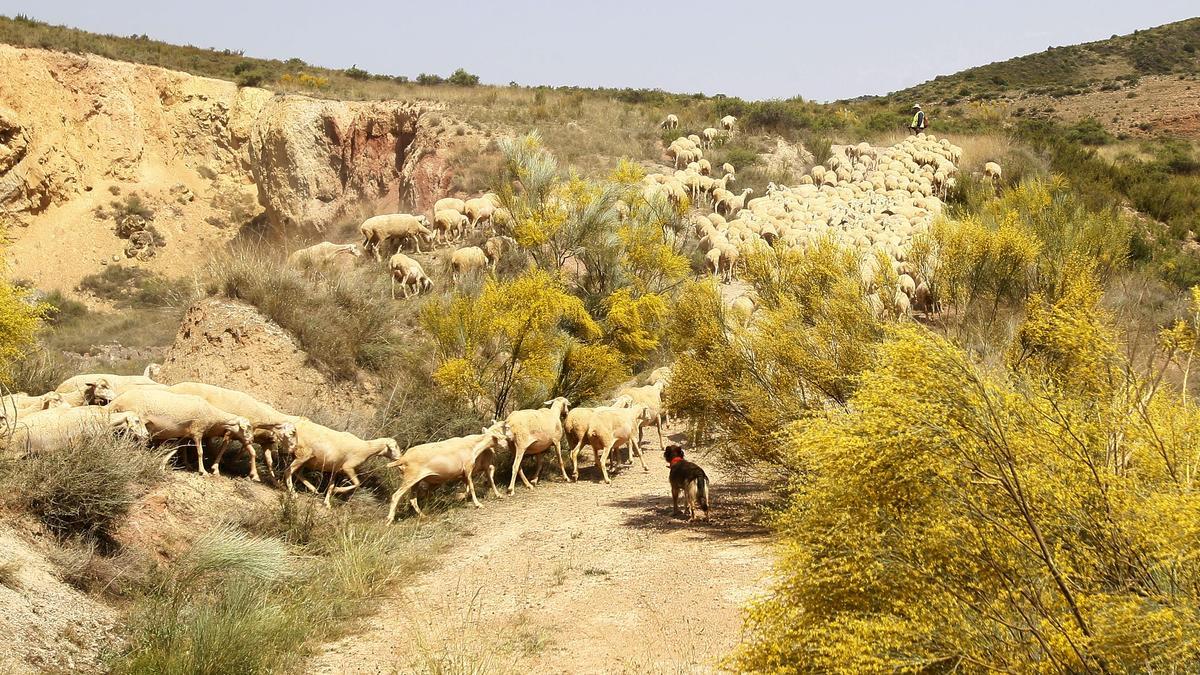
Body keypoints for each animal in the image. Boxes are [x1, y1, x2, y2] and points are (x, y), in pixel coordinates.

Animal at [110, 386, 255, 475]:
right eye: (248, 427)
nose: (252, 439)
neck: (212, 414)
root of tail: (118, 400)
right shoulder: (197, 431)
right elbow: (200, 452)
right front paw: (203, 471)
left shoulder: (184, 434)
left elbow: (174, 450)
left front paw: (162, 466)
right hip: (135, 423)